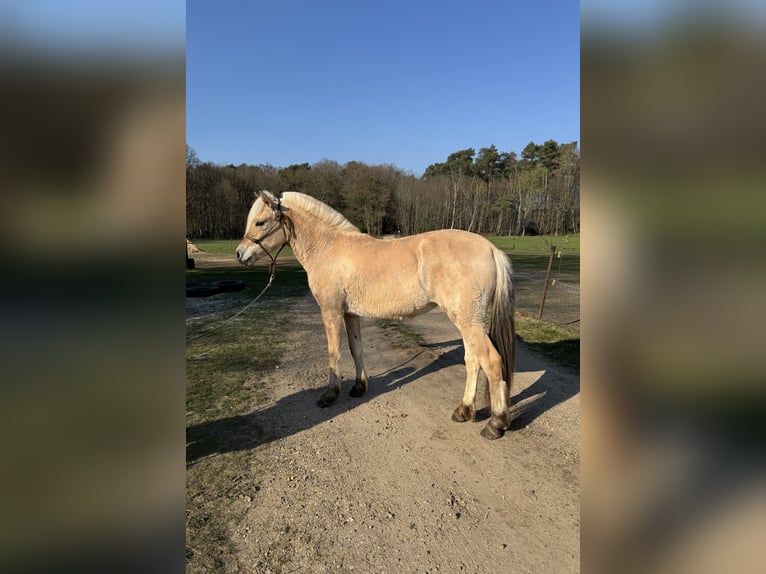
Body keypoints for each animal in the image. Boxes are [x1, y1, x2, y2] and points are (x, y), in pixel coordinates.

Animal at [236, 190, 515, 440]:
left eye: (260, 222)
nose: (240, 254)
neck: (328, 248)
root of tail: (491, 249)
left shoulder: (331, 311)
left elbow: (333, 353)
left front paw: (330, 394)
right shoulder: (350, 314)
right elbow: (355, 349)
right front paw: (359, 387)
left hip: (468, 321)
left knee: (491, 361)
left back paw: (496, 424)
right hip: (467, 321)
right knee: (472, 361)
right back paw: (464, 411)